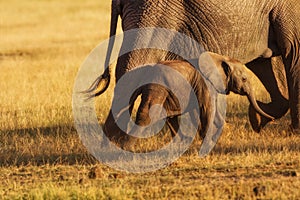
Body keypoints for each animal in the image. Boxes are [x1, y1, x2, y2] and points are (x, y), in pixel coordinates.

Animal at [124, 51, 274, 145]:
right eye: (244, 79)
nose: (272, 119)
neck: (221, 59)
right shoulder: (204, 83)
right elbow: (207, 108)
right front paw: (206, 141)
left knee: (169, 116)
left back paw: (181, 142)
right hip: (157, 87)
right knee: (147, 114)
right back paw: (128, 146)